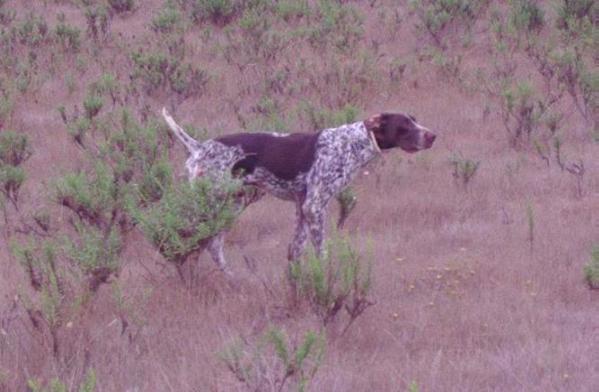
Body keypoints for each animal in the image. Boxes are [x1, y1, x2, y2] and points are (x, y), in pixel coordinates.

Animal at [162, 107, 438, 276]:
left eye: (415, 120)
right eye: (404, 125)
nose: (433, 135)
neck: (351, 145)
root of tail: (198, 147)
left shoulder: (301, 207)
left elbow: (295, 250)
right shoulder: (314, 207)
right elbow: (320, 251)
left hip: (231, 205)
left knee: (213, 246)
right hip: (212, 205)